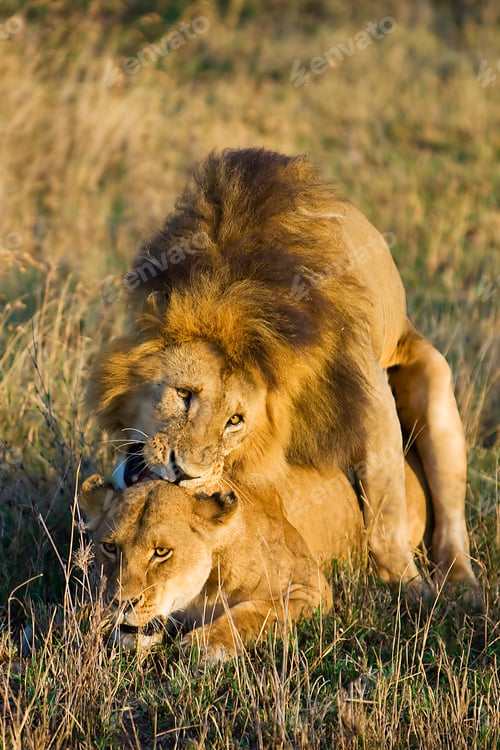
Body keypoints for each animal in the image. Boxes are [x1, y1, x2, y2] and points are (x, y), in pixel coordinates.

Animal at [79, 451, 431, 662]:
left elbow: (255, 612)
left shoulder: (310, 589)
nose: (120, 603)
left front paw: (205, 644)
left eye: (161, 552)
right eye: (110, 547)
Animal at [87, 148, 476, 590]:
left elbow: (385, 504)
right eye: (183, 394)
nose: (185, 475)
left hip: (436, 387)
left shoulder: (369, 394)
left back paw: (462, 584)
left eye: (234, 421)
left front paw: (406, 586)